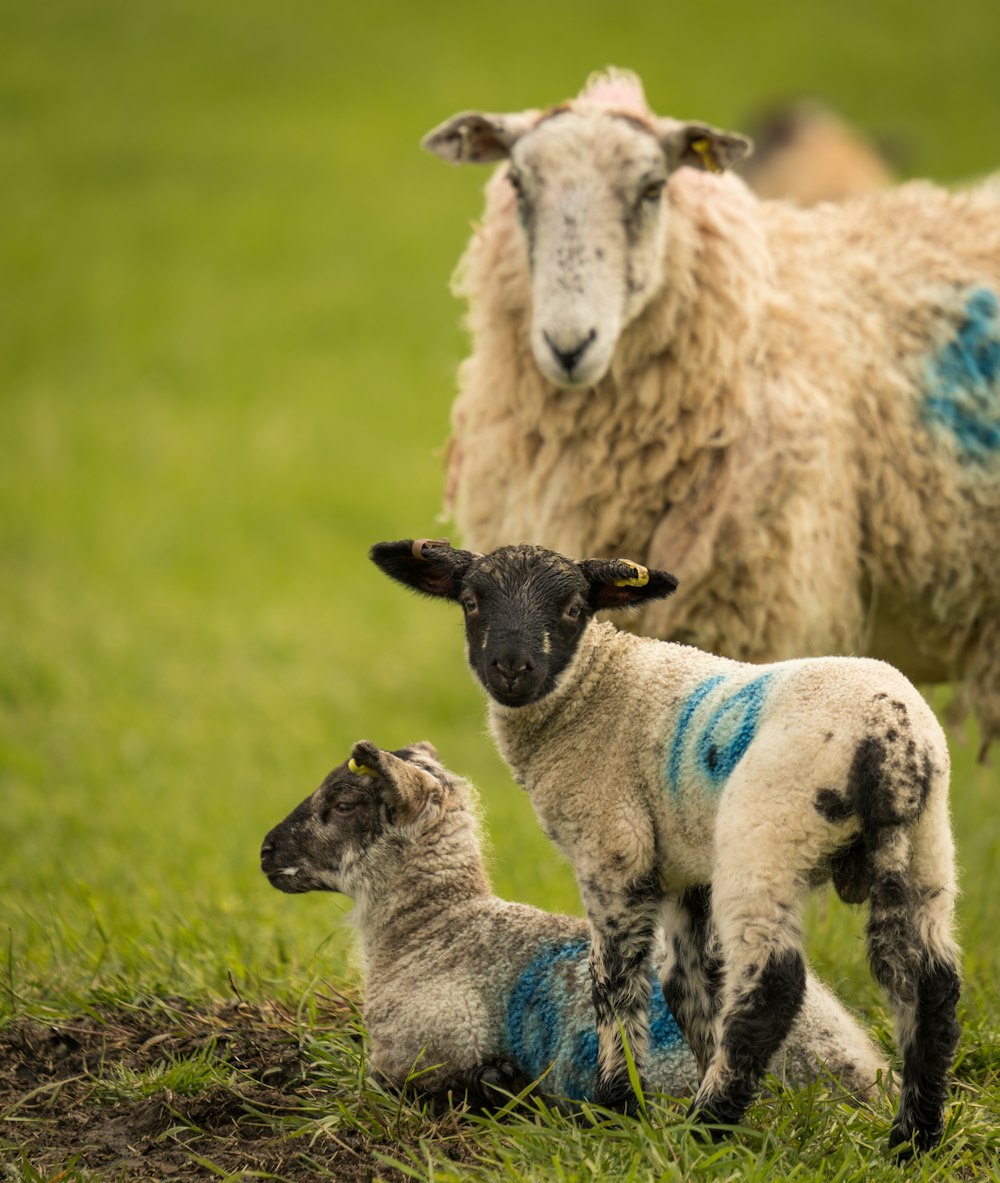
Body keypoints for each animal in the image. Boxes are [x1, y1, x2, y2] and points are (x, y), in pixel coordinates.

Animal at [259, 738, 889, 1107]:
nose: (265, 850)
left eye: (344, 804)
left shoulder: (419, 1054)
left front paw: (497, 1082)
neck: (435, 928)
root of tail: (857, 1073)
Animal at [369, 541, 960, 1154]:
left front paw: (619, 1108)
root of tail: (890, 741)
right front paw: (688, 1082)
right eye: (470, 600)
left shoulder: (612, 846)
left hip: (766, 834)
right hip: (925, 846)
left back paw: (709, 1126)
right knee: (929, 984)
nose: (511, 669)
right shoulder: (683, 869)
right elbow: (689, 984)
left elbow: (616, 979)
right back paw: (912, 1140)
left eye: (574, 607)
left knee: (772, 984)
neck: (591, 690)